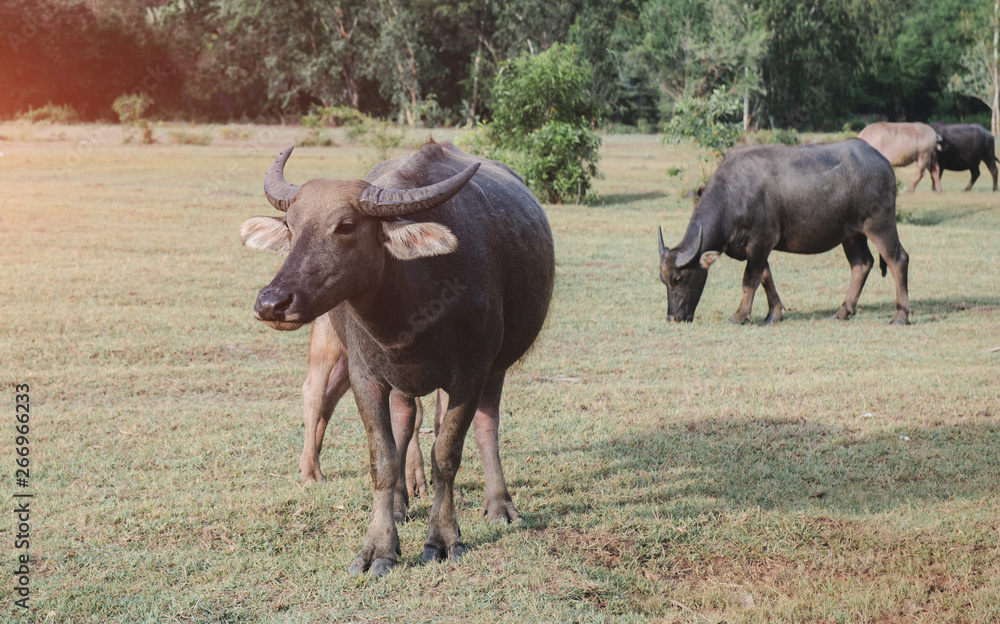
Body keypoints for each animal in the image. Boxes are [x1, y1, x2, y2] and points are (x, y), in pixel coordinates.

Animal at [241, 141, 554, 576]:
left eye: (346, 226)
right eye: (291, 225)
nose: (272, 302)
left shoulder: (470, 373)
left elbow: (447, 453)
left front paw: (443, 538)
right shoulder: (367, 375)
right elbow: (383, 458)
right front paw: (378, 547)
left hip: (495, 367)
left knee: (482, 425)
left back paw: (499, 505)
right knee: (357, 406)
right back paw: (374, 494)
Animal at [658, 139, 911, 325]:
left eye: (679, 278)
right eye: (663, 280)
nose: (673, 318)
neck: (733, 196)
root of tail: (883, 162)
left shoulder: (760, 241)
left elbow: (750, 279)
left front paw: (740, 316)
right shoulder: (758, 248)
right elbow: (765, 276)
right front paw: (774, 313)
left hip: (880, 224)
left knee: (898, 259)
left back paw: (900, 315)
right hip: (851, 235)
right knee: (861, 264)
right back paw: (843, 311)